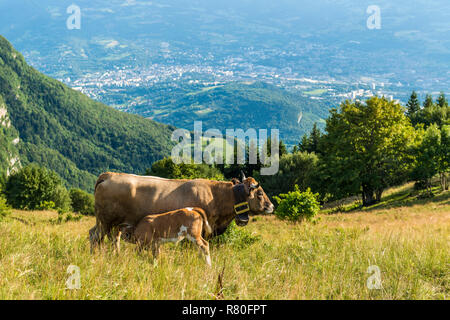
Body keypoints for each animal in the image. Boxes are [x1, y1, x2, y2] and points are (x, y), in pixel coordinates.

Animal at [90, 172, 274, 252]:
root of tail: (109, 175)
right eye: (259, 193)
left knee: (101, 236)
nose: (271, 206)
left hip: (110, 223)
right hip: (106, 222)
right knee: (97, 238)